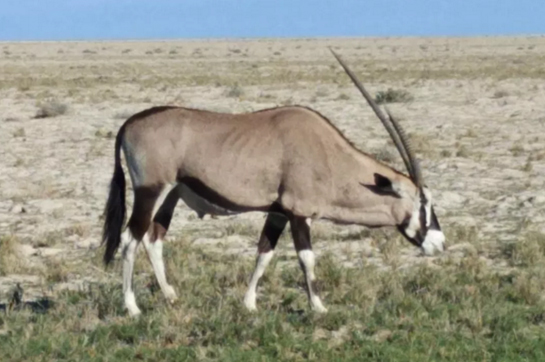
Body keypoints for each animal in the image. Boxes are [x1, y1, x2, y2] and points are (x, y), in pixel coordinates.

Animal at [101, 49, 442, 316]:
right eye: (423, 203)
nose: (440, 244)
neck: (327, 154)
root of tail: (130, 123)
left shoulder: (278, 212)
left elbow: (264, 253)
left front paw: (249, 304)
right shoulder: (298, 213)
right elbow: (307, 258)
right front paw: (319, 307)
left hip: (171, 194)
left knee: (153, 238)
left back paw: (171, 296)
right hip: (150, 190)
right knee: (131, 239)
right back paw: (132, 307)